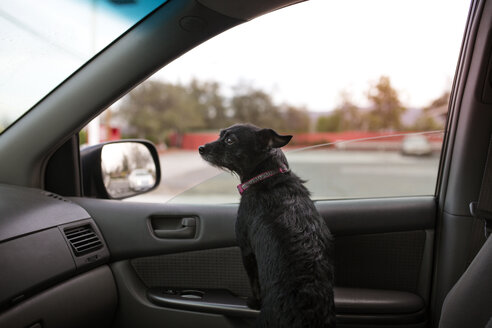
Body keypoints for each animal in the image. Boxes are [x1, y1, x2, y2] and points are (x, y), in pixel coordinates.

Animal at [199, 124, 334, 326]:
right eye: (220, 134)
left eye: (230, 140)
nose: (200, 148)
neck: (267, 177)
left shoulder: (246, 250)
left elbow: (253, 281)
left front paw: (254, 302)